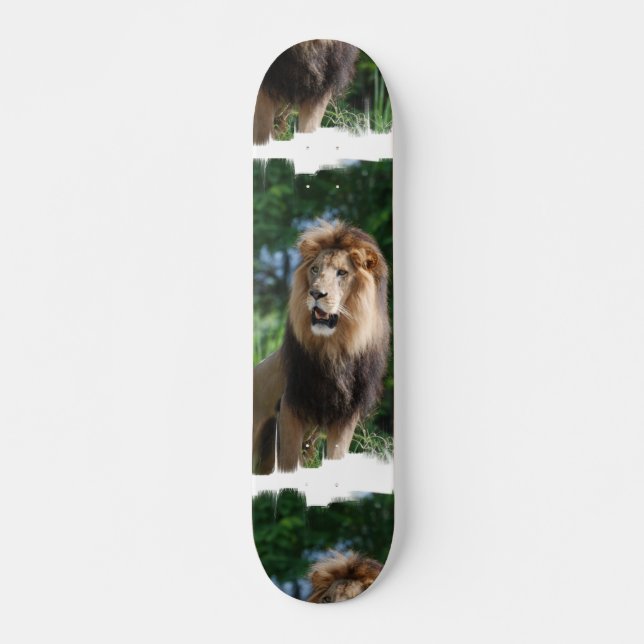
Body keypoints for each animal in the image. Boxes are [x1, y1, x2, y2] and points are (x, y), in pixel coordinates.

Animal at [253, 220, 390, 474]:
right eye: (315, 270)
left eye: (342, 272)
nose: (316, 293)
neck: (334, 347)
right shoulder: (290, 406)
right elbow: (288, 462)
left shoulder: (346, 416)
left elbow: (336, 456)